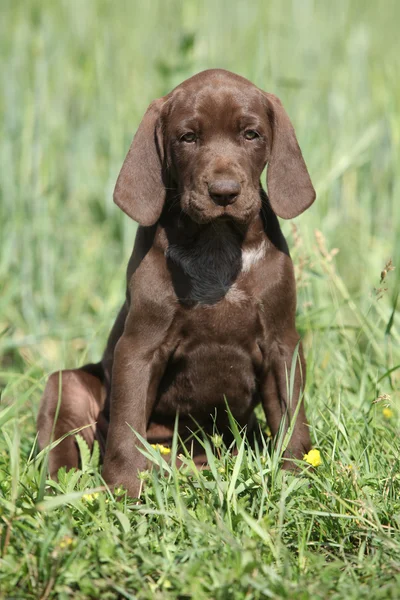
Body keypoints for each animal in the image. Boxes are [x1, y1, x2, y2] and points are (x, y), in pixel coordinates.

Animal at [39, 69, 318, 496]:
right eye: (188, 138)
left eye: (251, 134)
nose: (224, 193)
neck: (216, 244)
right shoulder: (139, 348)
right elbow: (127, 424)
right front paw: (125, 488)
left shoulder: (281, 344)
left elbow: (291, 417)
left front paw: (294, 479)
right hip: (67, 385)